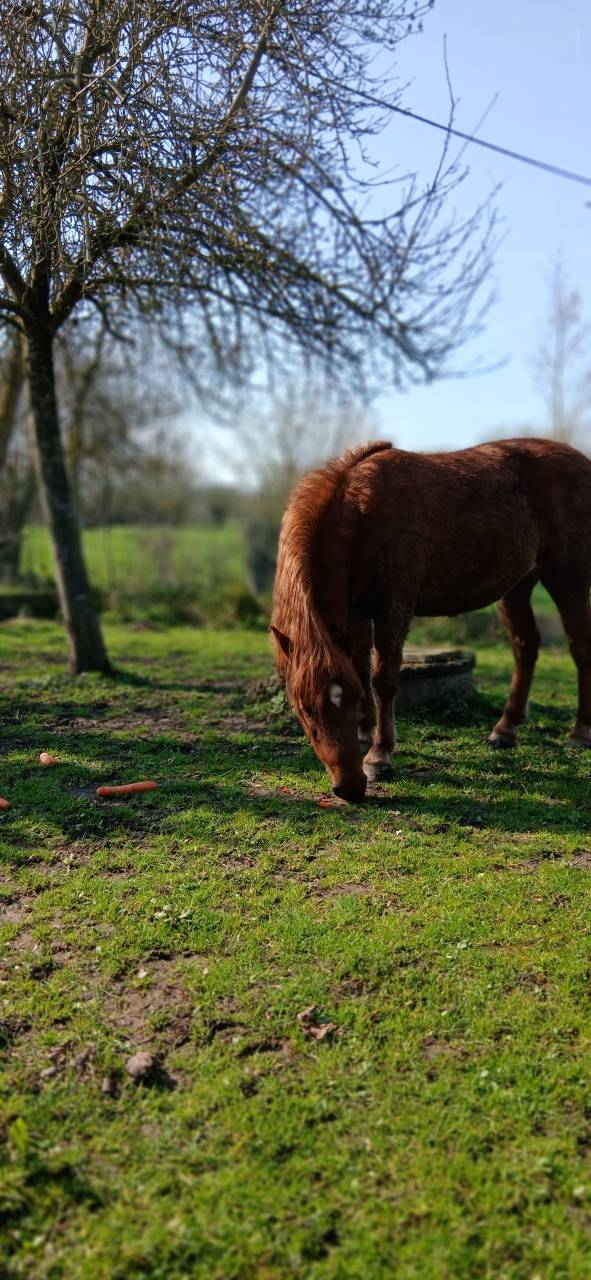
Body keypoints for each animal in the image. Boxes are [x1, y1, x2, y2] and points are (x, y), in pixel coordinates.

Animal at [271, 438, 591, 803]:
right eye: (305, 709)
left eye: (345, 700)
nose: (348, 787)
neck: (360, 512)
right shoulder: (355, 617)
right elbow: (362, 669)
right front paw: (366, 732)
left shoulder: (393, 607)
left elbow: (382, 680)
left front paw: (379, 756)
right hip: (518, 587)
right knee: (526, 646)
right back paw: (505, 729)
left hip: (567, 579)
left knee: (580, 647)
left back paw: (580, 732)